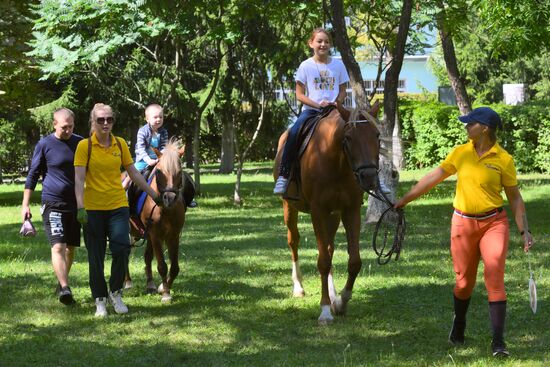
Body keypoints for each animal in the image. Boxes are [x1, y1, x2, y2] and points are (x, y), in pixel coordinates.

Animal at [128, 139, 189, 304]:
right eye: (159, 171)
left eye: (179, 172)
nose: (170, 198)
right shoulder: (156, 235)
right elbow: (162, 265)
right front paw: (166, 294)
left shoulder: (173, 235)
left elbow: (174, 267)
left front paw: (163, 286)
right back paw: (127, 282)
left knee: (147, 257)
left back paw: (150, 285)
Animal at [274, 102, 382, 324]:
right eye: (348, 138)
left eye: (376, 135)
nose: (368, 177)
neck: (337, 162)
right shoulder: (318, 211)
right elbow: (322, 261)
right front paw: (324, 310)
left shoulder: (350, 210)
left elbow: (354, 261)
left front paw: (340, 302)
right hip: (290, 207)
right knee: (294, 242)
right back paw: (298, 287)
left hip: (333, 215)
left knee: (330, 248)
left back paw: (332, 295)